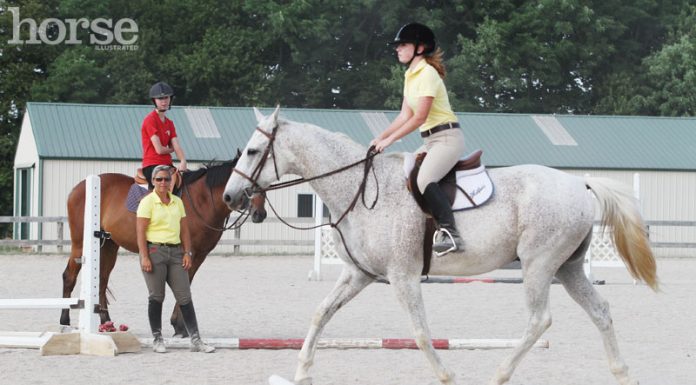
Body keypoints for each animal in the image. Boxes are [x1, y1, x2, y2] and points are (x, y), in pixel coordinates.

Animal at [61, 156, 266, 336]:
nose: (260, 214)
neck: (201, 200)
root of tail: (77, 188)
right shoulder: (188, 253)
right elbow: (183, 284)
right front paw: (179, 326)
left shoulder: (199, 255)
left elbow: (186, 284)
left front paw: (180, 326)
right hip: (80, 244)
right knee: (69, 276)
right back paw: (64, 320)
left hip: (109, 245)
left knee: (102, 281)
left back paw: (107, 323)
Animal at [223, 106, 656, 384]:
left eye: (253, 151)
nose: (229, 197)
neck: (360, 190)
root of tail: (579, 182)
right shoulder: (358, 274)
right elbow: (320, 314)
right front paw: (301, 372)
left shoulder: (402, 276)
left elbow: (419, 332)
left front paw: (447, 376)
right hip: (567, 268)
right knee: (600, 311)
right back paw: (623, 375)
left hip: (540, 265)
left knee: (539, 320)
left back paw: (499, 375)